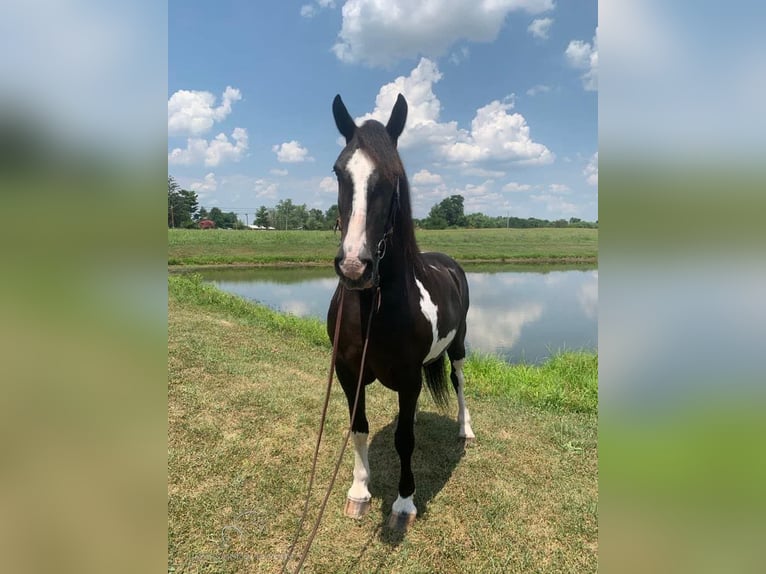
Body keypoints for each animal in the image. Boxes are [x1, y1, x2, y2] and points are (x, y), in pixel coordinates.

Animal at [328, 94, 476, 532]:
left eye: (394, 175)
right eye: (338, 171)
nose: (355, 266)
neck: (373, 309)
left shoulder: (409, 380)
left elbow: (404, 440)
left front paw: (404, 503)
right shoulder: (348, 372)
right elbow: (359, 429)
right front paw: (359, 492)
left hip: (459, 346)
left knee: (459, 381)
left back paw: (465, 429)